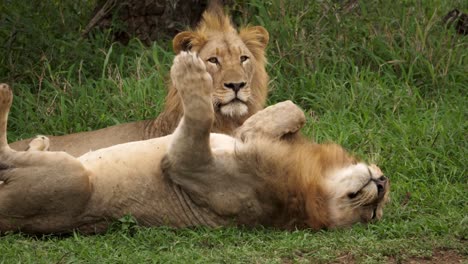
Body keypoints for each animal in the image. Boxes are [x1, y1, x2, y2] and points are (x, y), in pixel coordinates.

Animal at [0, 52, 392, 235]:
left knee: (5, 158)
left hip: (72, 179)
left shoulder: (185, 164)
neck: (311, 183)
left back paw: (8, 103)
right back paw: (36, 139)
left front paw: (190, 72)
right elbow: (291, 111)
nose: (382, 184)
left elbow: (200, 116)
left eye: (372, 215)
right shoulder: (242, 138)